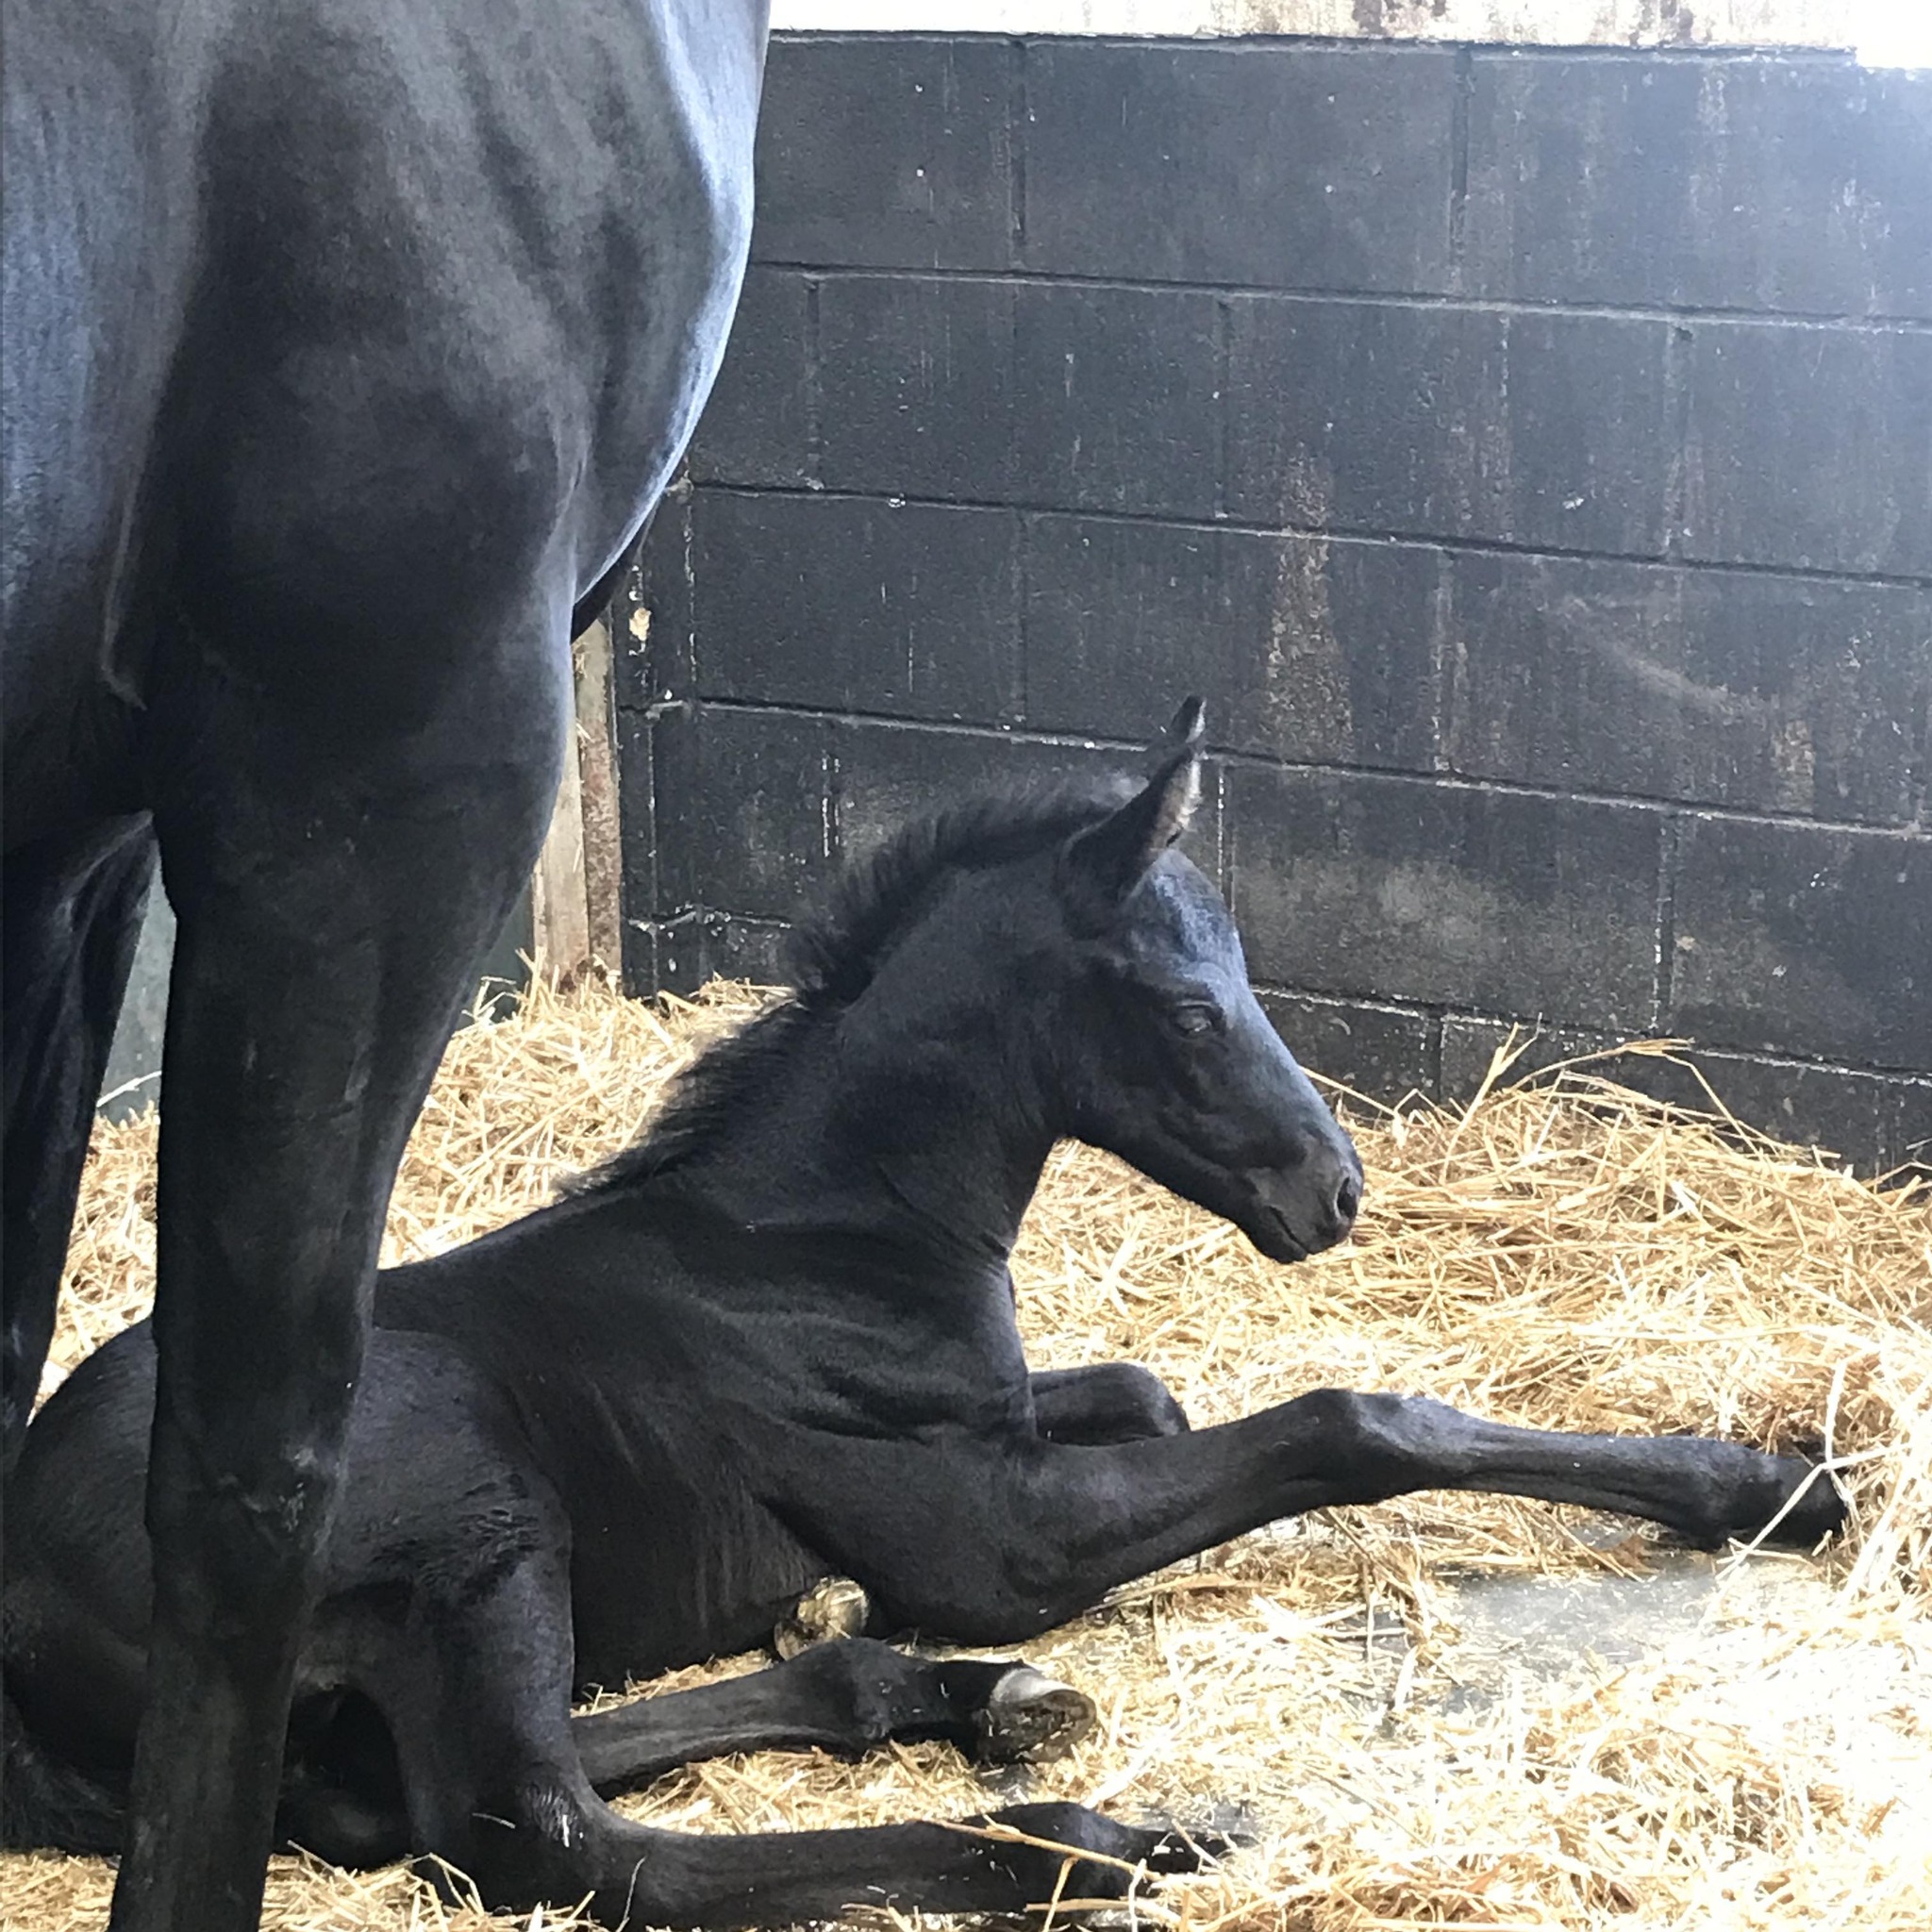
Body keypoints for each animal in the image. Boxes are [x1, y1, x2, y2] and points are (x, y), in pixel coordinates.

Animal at [4, 705, 1847, 1926]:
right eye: (1189, 1008)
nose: (1334, 1194)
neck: (818, 1238)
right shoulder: (993, 1540)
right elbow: (1354, 1420)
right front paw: (1775, 1483)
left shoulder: (1016, 1429)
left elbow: (1156, 1388)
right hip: (472, 1509)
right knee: (546, 1838)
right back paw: (1089, 1839)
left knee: (446, 1793)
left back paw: (934, 1693)